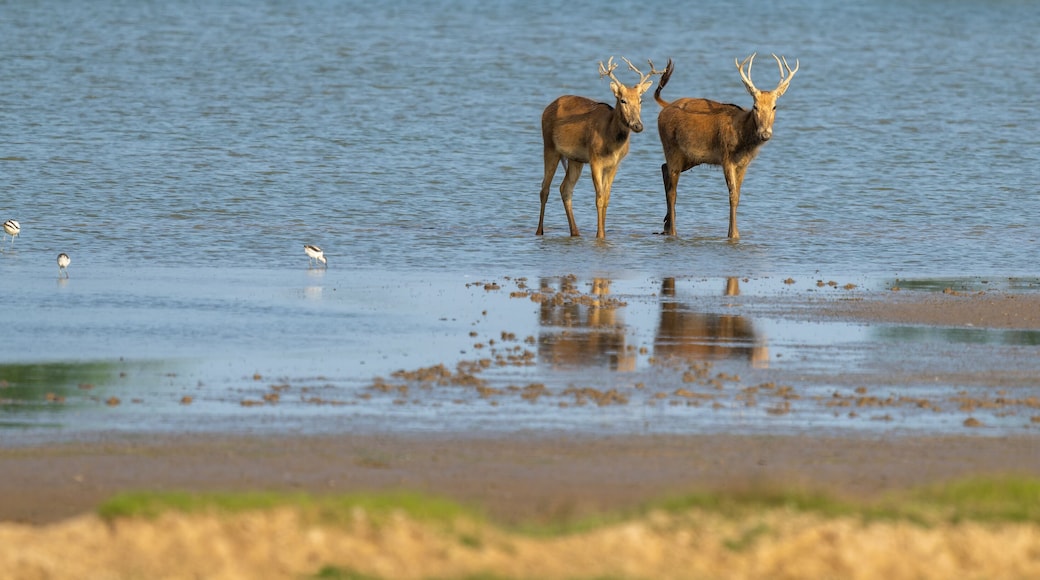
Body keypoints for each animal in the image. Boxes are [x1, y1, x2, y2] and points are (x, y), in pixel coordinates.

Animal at [536, 57, 665, 238]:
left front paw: (603, 233)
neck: (612, 143)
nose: (637, 125)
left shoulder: (614, 164)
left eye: (641, 100)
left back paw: (575, 232)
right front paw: (600, 235)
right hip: (549, 146)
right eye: (623, 100)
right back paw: (539, 231)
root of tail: (547, 108)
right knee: (544, 188)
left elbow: (606, 198)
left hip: (575, 159)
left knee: (565, 188)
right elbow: (599, 197)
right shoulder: (595, 159)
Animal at [655, 53, 798, 239]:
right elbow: (732, 195)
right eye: (755, 106)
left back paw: (666, 225)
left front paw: (735, 232)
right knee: (673, 190)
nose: (765, 133)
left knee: (663, 168)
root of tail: (664, 106)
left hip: (690, 158)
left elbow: (738, 195)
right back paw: (672, 230)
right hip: (671, 148)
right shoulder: (726, 158)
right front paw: (733, 234)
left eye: (774, 106)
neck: (744, 141)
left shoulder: (743, 164)